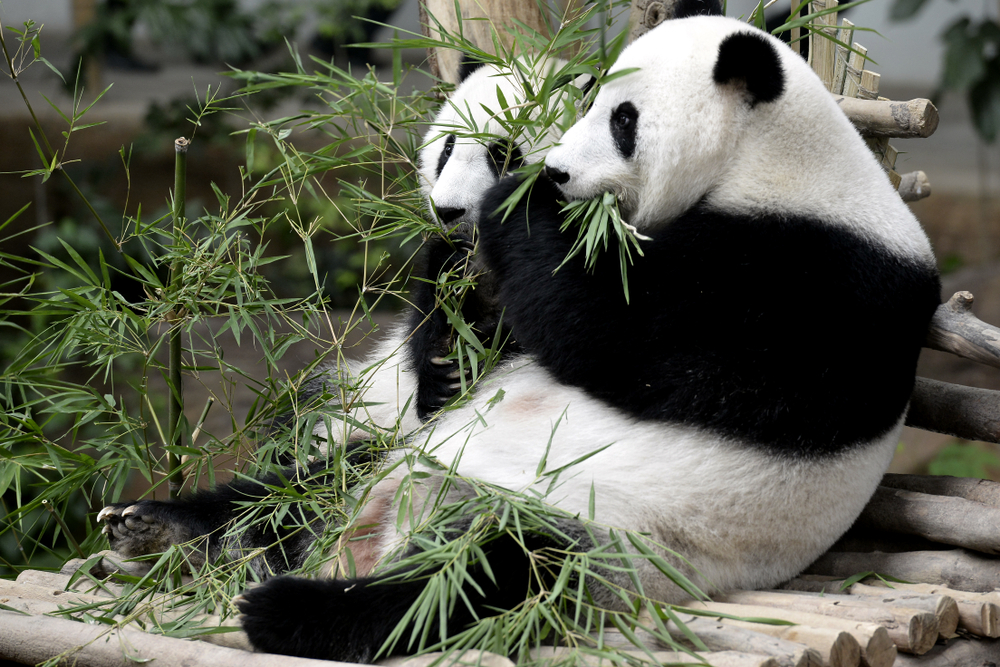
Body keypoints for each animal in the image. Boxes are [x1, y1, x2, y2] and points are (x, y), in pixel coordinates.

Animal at [234, 15, 941, 662]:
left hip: (607, 531)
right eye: (446, 147)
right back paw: (224, 534)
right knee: (283, 493)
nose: (556, 173)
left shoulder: (807, 283)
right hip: (378, 458)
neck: (771, 157)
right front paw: (448, 351)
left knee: (484, 576)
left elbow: (608, 327)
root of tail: (382, 526)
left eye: (622, 120)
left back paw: (294, 610)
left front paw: (518, 208)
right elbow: (481, 330)